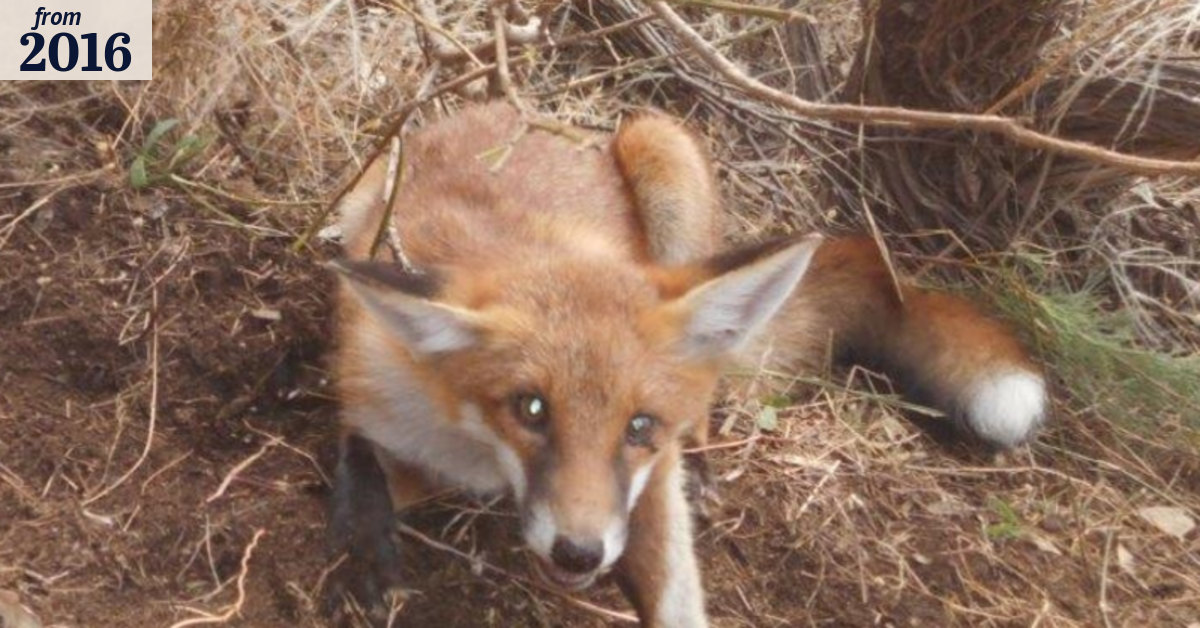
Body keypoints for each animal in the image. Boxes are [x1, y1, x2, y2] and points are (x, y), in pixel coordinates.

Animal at [325, 102, 1047, 627]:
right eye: (531, 410)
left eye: (640, 426)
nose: (579, 551)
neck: (479, 452)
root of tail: (519, 107)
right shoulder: (389, 403)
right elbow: (359, 458)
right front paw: (365, 539)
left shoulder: (649, 480)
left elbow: (675, 594)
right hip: (364, 186)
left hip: (661, 147)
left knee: (709, 389)